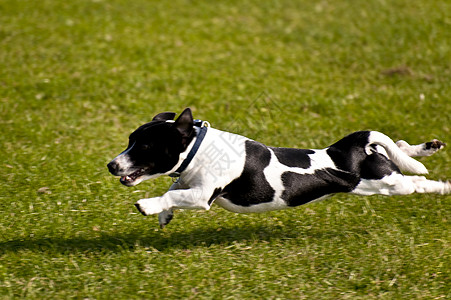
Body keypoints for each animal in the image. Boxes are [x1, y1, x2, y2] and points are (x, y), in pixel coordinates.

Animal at [107, 108, 450, 227]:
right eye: (129, 140)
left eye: (145, 146)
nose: (111, 165)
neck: (198, 148)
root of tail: (352, 145)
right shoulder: (190, 184)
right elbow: (173, 188)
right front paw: (164, 214)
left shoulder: (203, 195)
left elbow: (172, 193)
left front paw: (148, 206)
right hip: (383, 164)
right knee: (399, 145)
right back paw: (428, 147)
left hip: (386, 183)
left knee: (415, 183)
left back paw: (443, 186)